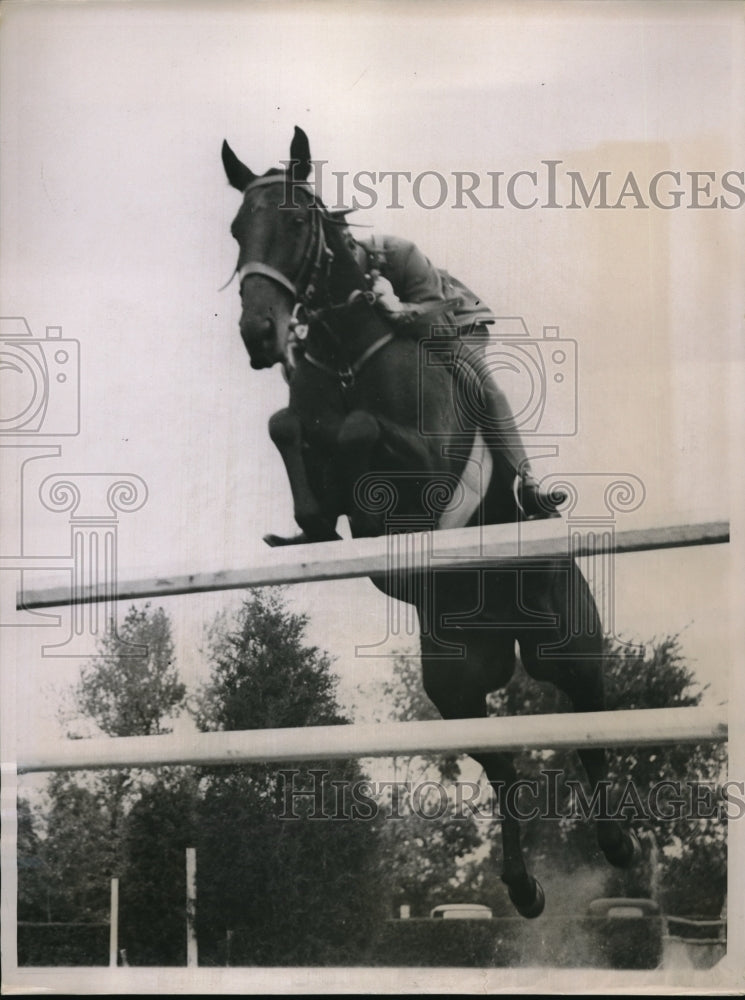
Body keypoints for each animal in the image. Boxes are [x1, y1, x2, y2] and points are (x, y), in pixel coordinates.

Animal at [218, 127, 636, 920]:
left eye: (294, 223)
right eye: (235, 230)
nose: (260, 334)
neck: (349, 354)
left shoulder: (431, 471)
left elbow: (356, 430)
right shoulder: (307, 420)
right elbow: (288, 424)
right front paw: (308, 524)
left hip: (566, 643)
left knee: (591, 727)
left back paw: (620, 847)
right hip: (455, 679)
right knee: (503, 765)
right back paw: (523, 888)